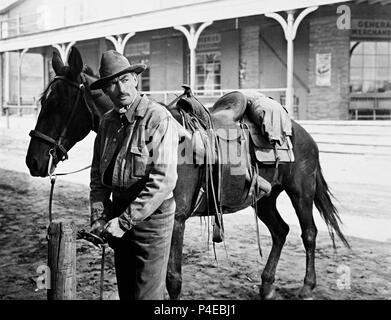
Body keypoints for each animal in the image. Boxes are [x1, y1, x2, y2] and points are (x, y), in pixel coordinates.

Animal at [26, 47, 350, 300]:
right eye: (43, 101)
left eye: (59, 104)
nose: (34, 161)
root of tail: (302, 133)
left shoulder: (177, 220)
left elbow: (172, 279)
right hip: (265, 199)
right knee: (281, 231)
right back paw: (267, 286)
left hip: (300, 192)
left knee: (309, 234)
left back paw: (307, 287)